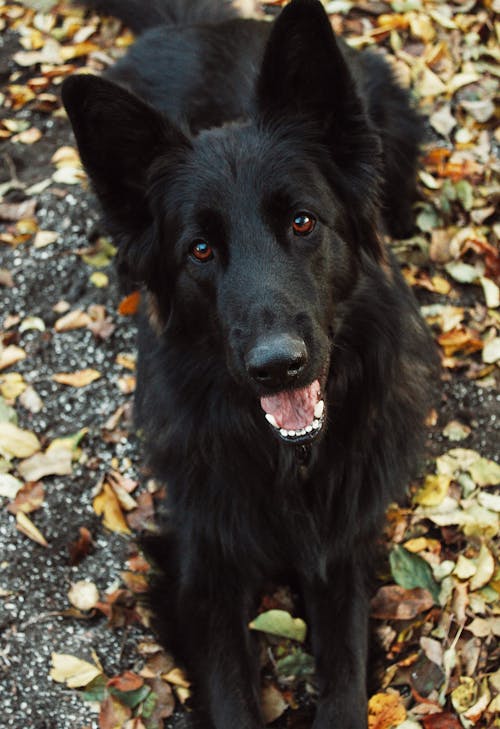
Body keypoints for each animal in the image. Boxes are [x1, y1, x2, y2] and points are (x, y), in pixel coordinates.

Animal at [61, 2, 438, 724]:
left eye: (302, 222)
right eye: (201, 250)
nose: (277, 366)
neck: (288, 464)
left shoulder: (341, 547)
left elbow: (346, 680)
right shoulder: (202, 565)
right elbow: (233, 694)